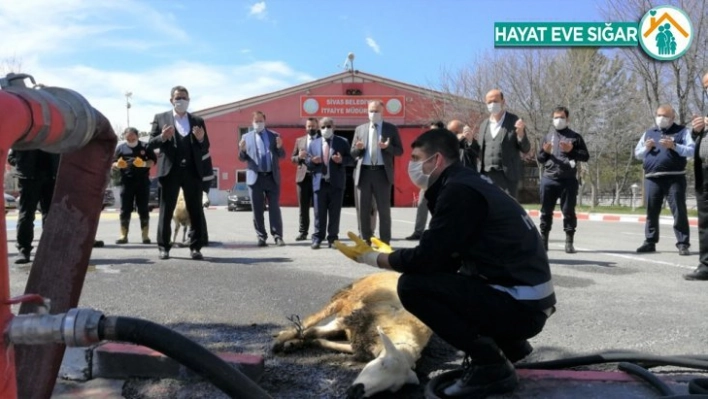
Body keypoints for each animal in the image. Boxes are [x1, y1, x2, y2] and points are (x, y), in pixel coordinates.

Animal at [274, 272, 434, 399]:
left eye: (391, 389)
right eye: (382, 363)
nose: (357, 392)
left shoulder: (361, 341)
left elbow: (325, 340)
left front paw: (308, 342)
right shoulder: (356, 317)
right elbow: (312, 331)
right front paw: (280, 343)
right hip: (344, 297)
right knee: (313, 319)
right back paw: (282, 337)